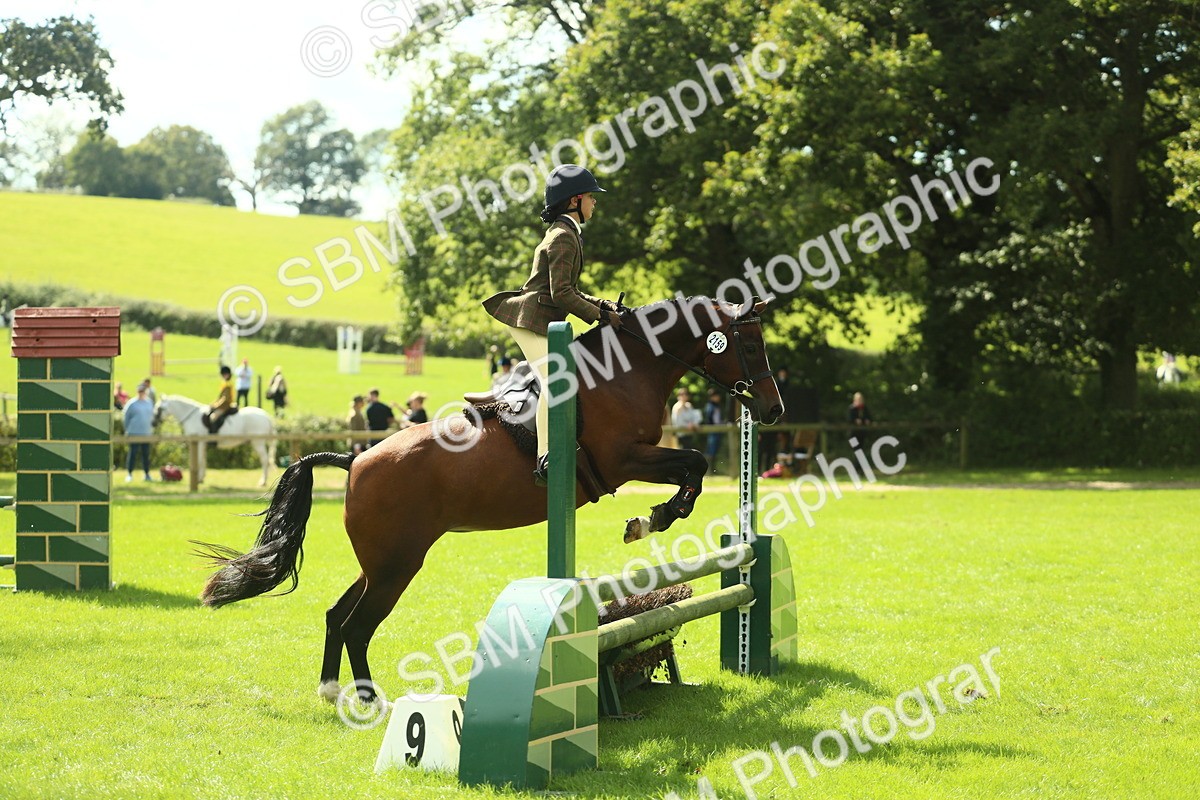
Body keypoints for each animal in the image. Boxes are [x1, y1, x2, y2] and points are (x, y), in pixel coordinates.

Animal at [192, 296, 784, 706]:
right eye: (751, 347)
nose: (774, 410)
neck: (628, 368)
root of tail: (354, 461)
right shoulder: (625, 460)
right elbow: (695, 463)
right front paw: (654, 517)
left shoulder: (634, 459)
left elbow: (694, 466)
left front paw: (653, 517)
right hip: (396, 566)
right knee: (358, 626)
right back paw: (368, 701)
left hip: (379, 563)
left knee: (338, 616)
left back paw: (331, 691)